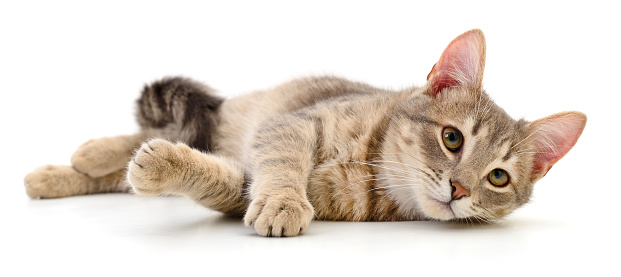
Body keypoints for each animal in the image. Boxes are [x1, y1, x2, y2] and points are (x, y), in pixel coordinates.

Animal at [24, 29, 588, 237]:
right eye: (453, 139)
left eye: (498, 178)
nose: (460, 188)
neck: (370, 168)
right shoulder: (290, 124)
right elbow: (282, 162)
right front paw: (283, 201)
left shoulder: (239, 185)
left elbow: (213, 175)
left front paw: (163, 164)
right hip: (234, 114)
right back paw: (89, 153)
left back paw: (54, 175)